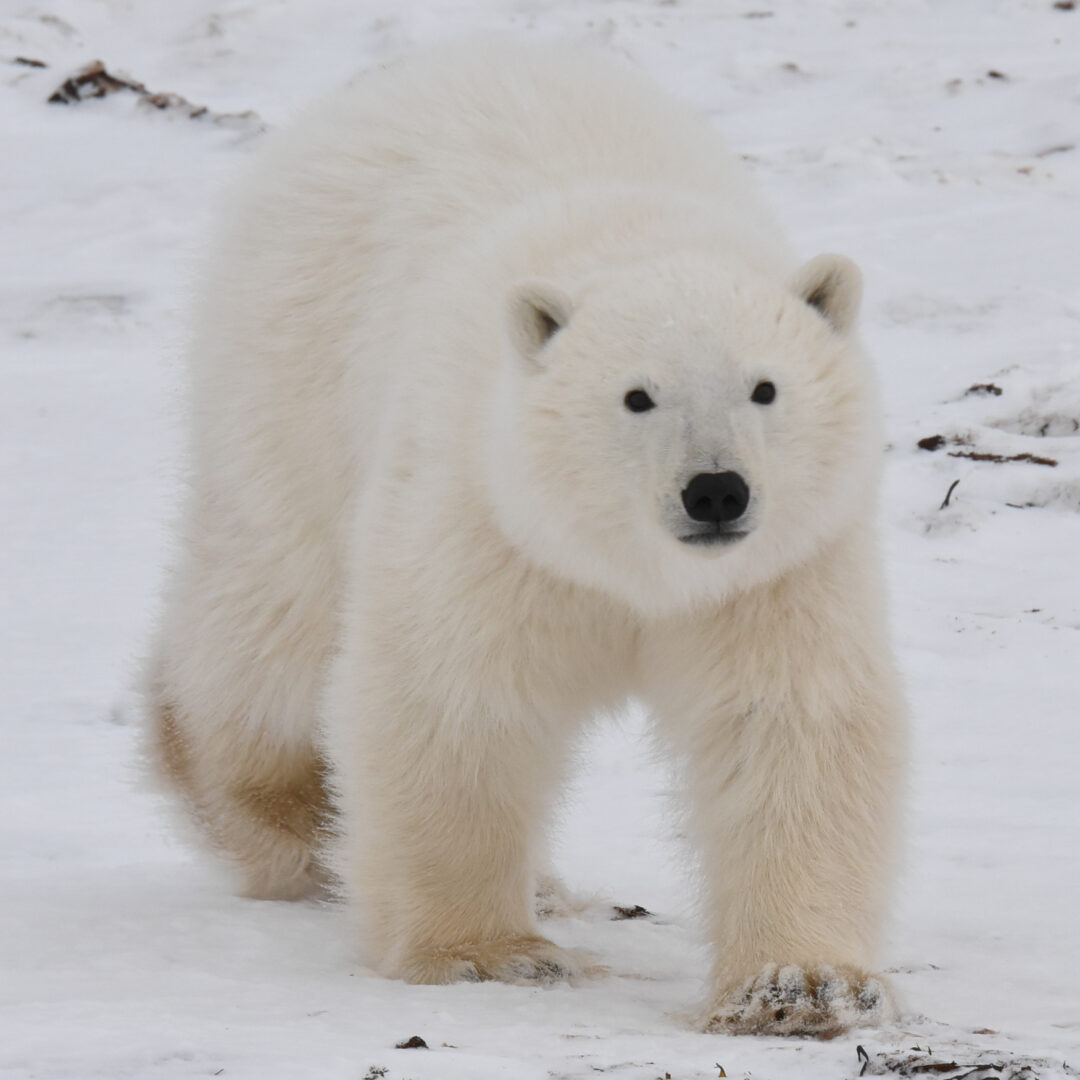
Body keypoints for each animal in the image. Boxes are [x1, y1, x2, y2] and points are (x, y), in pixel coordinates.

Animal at [143, 39, 902, 1036]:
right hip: (288, 381)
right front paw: (487, 954)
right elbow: (455, 697)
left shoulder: (777, 570)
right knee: (273, 621)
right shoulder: (492, 517)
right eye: (637, 395)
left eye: (765, 387)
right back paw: (284, 815)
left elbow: (785, 722)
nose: (715, 491)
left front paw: (799, 985)